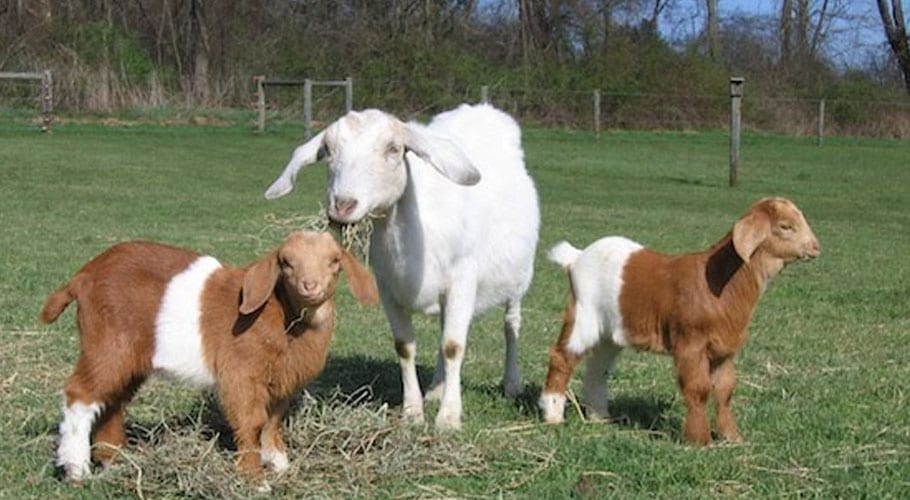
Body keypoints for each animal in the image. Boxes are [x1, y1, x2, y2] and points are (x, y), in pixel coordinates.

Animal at [40, 232, 378, 484]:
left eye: (334, 261)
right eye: (286, 263)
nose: (311, 286)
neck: (284, 314)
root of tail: (82, 277)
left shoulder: (282, 380)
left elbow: (273, 421)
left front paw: (280, 464)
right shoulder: (242, 373)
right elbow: (251, 421)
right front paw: (255, 479)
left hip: (132, 359)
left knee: (112, 402)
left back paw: (116, 462)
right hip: (108, 346)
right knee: (80, 395)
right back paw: (76, 469)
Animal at [264, 103, 540, 429]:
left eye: (394, 149)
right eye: (328, 150)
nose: (342, 205)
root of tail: (483, 110)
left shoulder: (463, 281)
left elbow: (453, 346)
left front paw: (448, 418)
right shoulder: (388, 288)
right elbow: (405, 347)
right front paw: (413, 412)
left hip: (518, 280)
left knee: (511, 325)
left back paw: (510, 383)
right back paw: (435, 389)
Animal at [538, 197, 820, 444]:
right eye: (785, 226)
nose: (816, 247)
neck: (720, 281)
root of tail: (576, 258)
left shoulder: (723, 350)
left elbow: (725, 390)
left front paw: (733, 437)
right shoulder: (691, 344)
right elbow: (698, 388)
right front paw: (700, 440)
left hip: (610, 332)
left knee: (597, 368)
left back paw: (600, 417)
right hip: (583, 314)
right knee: (562, 357)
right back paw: (553, 415)